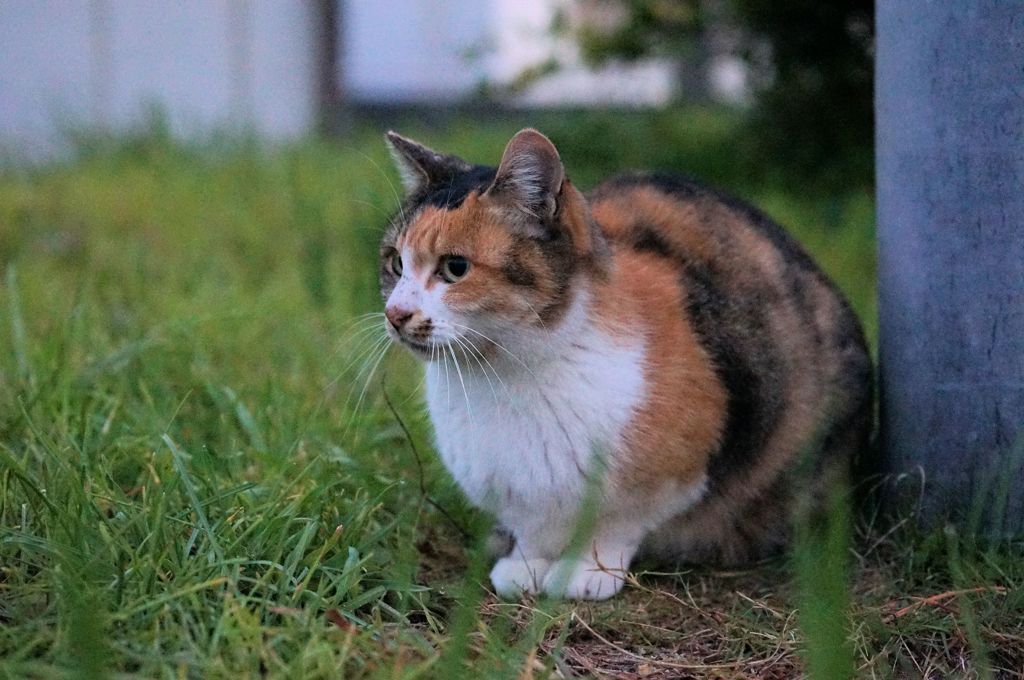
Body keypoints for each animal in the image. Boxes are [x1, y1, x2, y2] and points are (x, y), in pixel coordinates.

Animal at [376, 127, 872, 602]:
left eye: (455, 268)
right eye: (395, 262)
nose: (396, 313)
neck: (506, 373)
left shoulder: (672, 477)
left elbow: (615, 527)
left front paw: (586, 573)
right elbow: (532, 530)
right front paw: (525, 566)